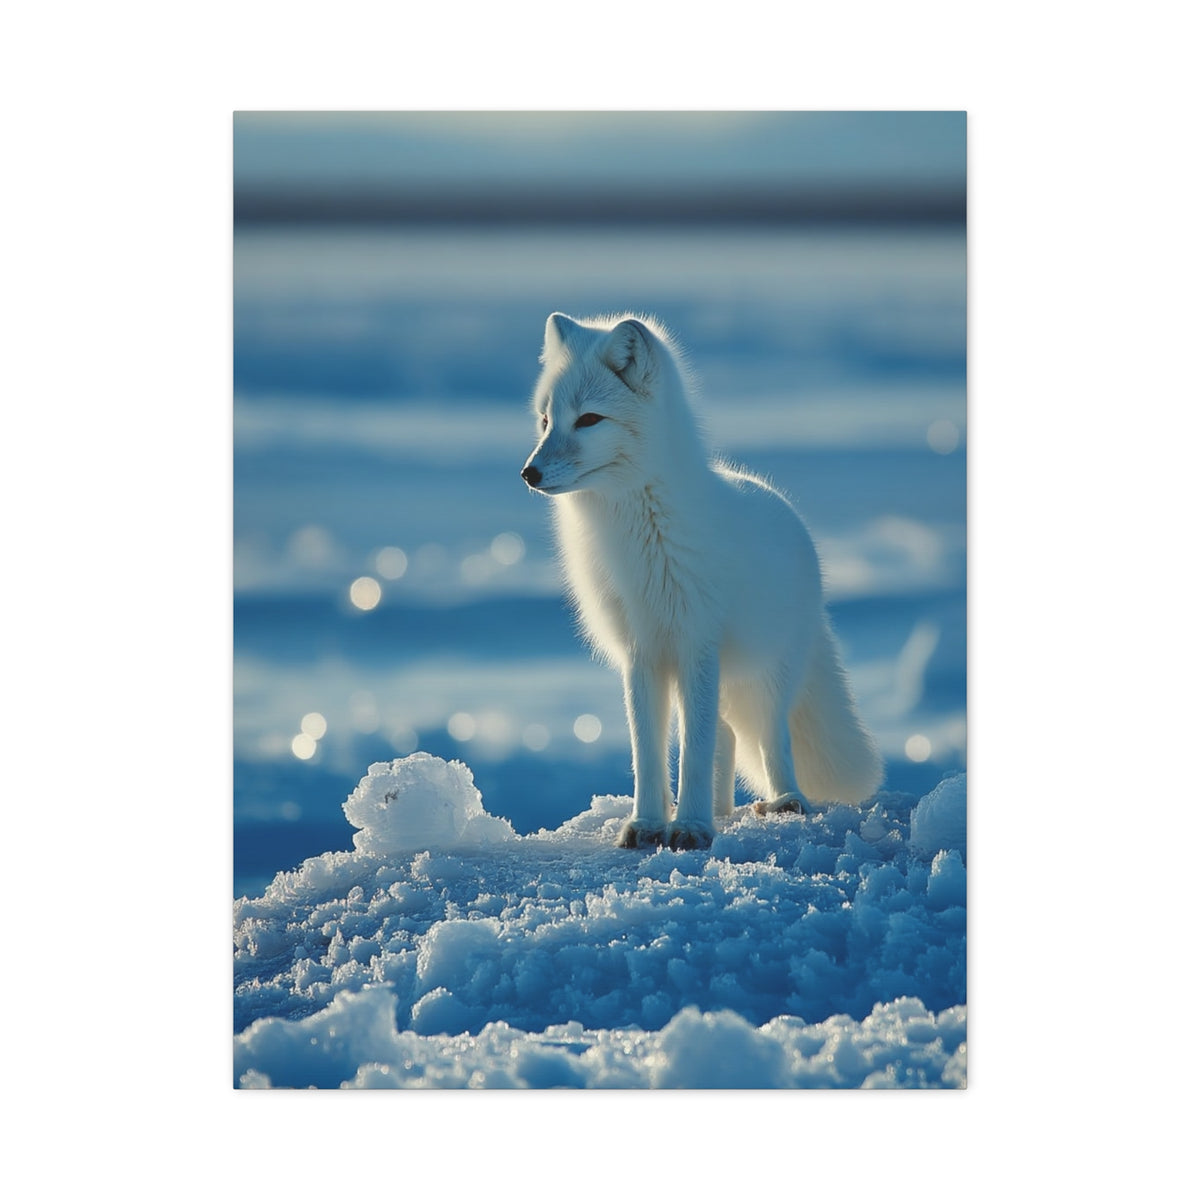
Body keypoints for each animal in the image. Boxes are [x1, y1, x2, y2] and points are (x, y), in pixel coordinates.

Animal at [520, 312, 883, 850]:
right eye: (545, 420)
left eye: (588, 420)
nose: (530, 473)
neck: (640, 531)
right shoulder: (641, 652)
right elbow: (648, 752)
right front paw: (649, 823)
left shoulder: (697, 642)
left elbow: (692, 750)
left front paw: (690, 827)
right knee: (726, 737)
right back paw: (722, 811)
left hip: (767, 675)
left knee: (769, 739)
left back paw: (784, 801)